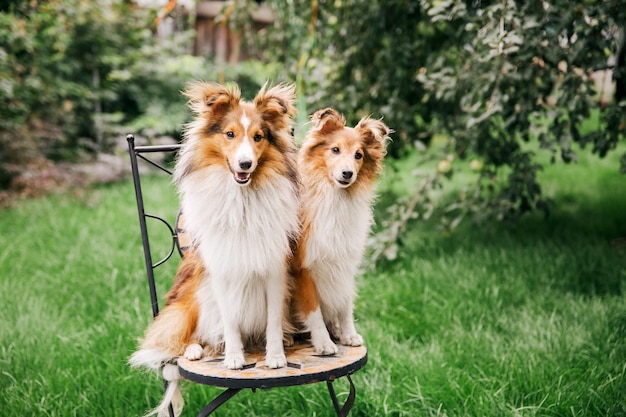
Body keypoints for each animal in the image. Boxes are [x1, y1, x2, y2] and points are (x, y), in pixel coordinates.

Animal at [129, 82, 298, 416]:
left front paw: (275, 356)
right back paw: (196, 349)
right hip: (192, 300)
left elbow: (273, 318)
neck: (243, 199)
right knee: (190, 337)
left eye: (258, 137)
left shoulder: (275, 270)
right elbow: (230, 320)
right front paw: (234, 357)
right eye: (229, 134)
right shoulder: (220, 272)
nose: (245, 164)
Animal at [290, 108, 388, 354]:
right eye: (335, 149)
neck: (335, 198)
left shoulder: (344, 263)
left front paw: (348, 334)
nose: (347, 173)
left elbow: (345, 304)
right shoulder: (303, 268)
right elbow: (313, 310)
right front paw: (323, 342)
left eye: (358, 155)